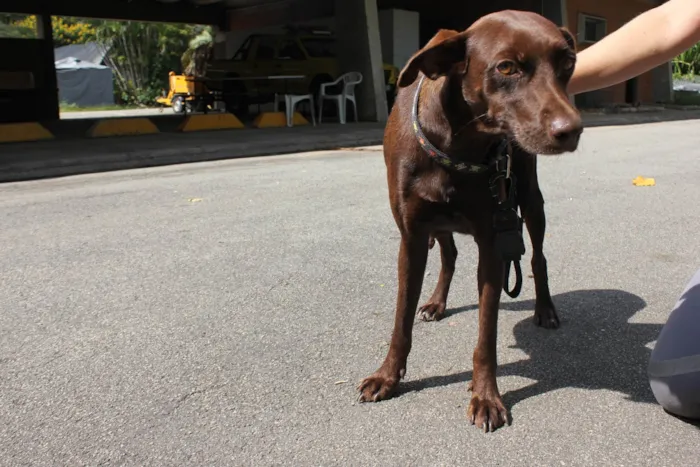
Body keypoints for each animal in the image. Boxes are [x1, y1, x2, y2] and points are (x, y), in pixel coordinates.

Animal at [358, 11, 584, 434]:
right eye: (506, 67)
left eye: (568, 64)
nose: (571, 130)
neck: (456, 144)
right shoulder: (412, 238)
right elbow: (400, 321)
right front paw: (388, 376)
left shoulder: (492, 241)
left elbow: (486, 334)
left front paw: (486, 396)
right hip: (441, 223)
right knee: (448, 255)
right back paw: (436, 302)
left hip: (529, 198)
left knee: (537, 257)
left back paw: (545, 309)